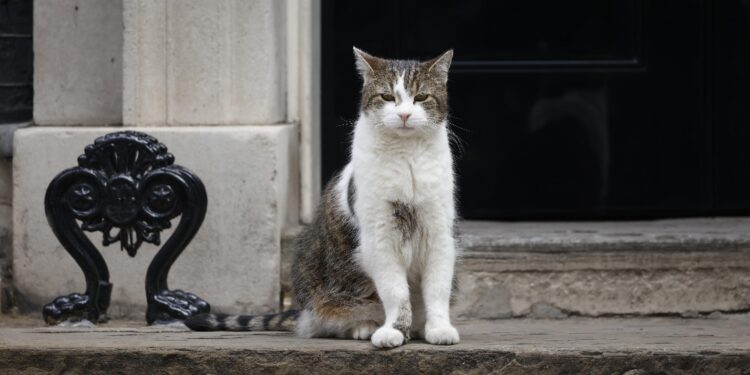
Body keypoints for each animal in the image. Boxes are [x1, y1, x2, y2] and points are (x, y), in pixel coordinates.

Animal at [187, 47, 458, 350]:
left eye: (421, 97)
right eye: (388, 97)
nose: (405, 115)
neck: (407, 156)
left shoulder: (439, 234)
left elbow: (437, 289)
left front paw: (439, 328)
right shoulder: (380, 236)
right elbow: (395, 292)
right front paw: (393, 331)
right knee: (327, 321)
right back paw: (364, 327)